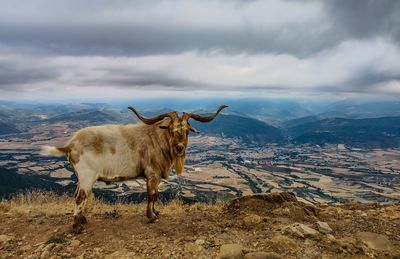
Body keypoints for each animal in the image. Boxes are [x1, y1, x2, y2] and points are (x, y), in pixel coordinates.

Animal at [41, 105, 228, 234]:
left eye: (187, 130)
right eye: (171, 129)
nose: (180, 148)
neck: (157, 139)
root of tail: (71, 145)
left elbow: (155, 195)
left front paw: (156, 213)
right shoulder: (152, 175)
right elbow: (152, 195)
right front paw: (151, 217)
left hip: (83, 178)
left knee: (78, 195)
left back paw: (83, 220)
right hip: (87, 176)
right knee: (81, 197)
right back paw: (76, 227)